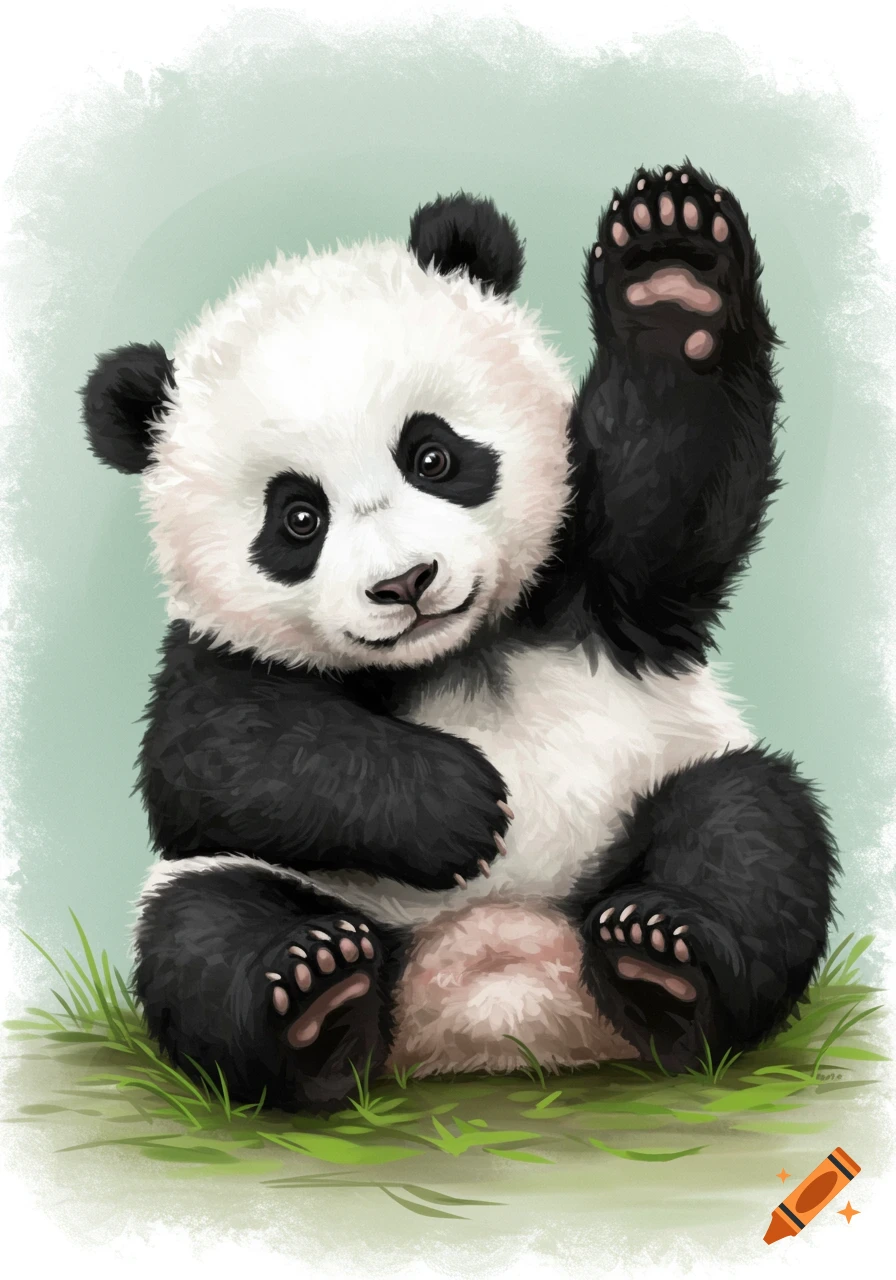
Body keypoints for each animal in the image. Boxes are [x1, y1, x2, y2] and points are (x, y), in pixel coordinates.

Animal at [81, 164, 837, 1112]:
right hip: (304, 898)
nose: (405, 583)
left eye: (432, 456)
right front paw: (459, 806)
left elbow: (666, 501)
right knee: (202, 929)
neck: (451, 651)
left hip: (647, 806)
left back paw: (666, 964)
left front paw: (671, 272)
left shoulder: (591, 582)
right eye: (298, 517)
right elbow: (216, 757)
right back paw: (315, 1002)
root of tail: (490, 997)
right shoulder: (218, 654)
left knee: (749, 824)